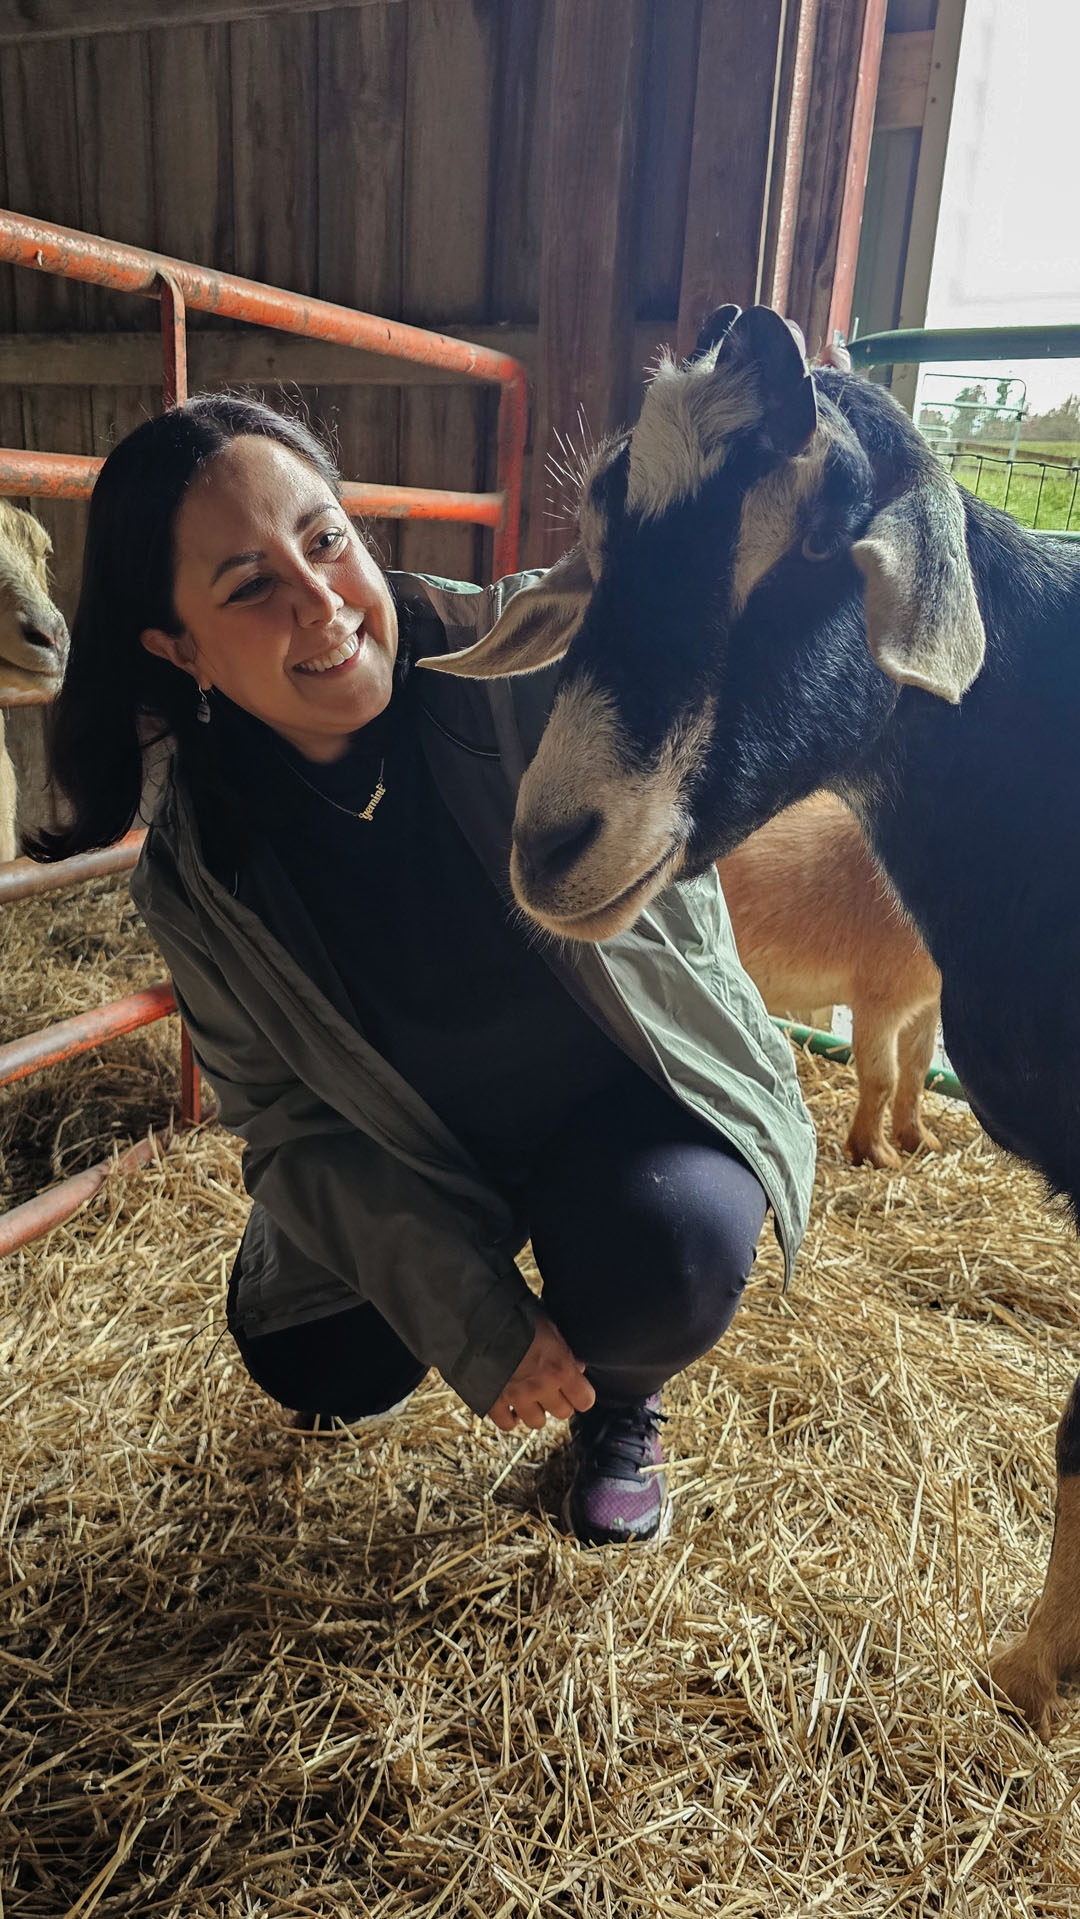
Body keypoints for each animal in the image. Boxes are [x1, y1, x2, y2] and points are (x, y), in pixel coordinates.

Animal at [717, 794, 942, 1169]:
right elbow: (883, 1079)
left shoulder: (927, 1007)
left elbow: (915, 1072)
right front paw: (875, 1152)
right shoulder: (879, 1006)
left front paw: (917, 1139)